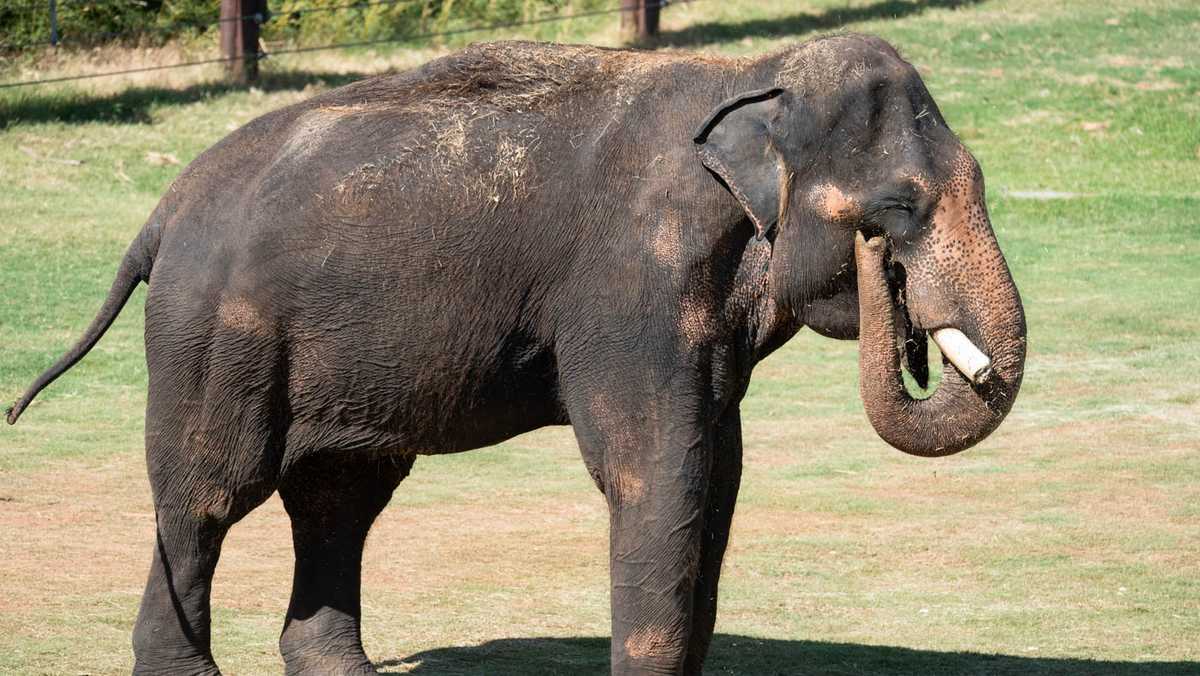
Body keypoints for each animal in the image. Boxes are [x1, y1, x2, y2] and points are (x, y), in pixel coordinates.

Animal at [4, 35, 1027, 676]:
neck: (749, 76)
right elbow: (656, 469)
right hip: (217, 333)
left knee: (339, 496)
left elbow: (717, 473)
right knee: (209, 494)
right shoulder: (629, 286)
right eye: (896, 211)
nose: (893, 293)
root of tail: (164, 210)